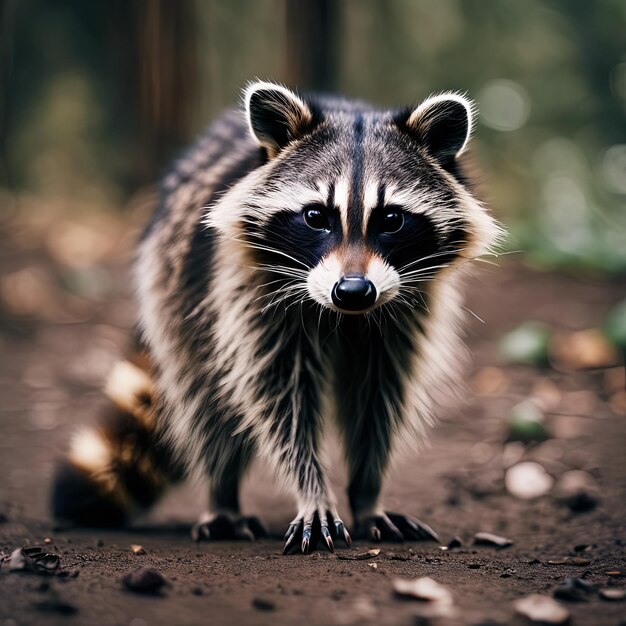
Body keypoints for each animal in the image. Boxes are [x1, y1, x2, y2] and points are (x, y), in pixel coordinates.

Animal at [53, 79, 502, 552]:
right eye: (316, 216)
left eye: (392, 219)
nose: (353, 292)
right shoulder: (249, 293)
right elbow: (280, 397)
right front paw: (311, 489)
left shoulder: (405, 313)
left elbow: (377, 398)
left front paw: (366, 492)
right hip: (176, 290)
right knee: (207, 402)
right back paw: (222, 495)